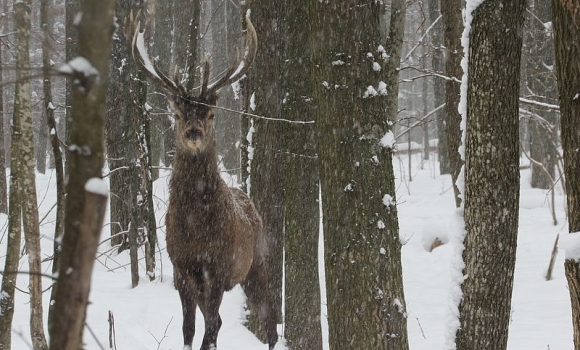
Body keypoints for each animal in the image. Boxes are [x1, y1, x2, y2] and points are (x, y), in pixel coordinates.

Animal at [133, 14, 278, 350]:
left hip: (256, 263)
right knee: (222, 321)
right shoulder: (182, 267)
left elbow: (209, 327)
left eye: (211, 114)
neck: (198, 230)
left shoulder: (219, 269)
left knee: (269, 319)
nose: (194, 132)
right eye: (177, 113)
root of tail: (248, 200)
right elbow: (189, 327)